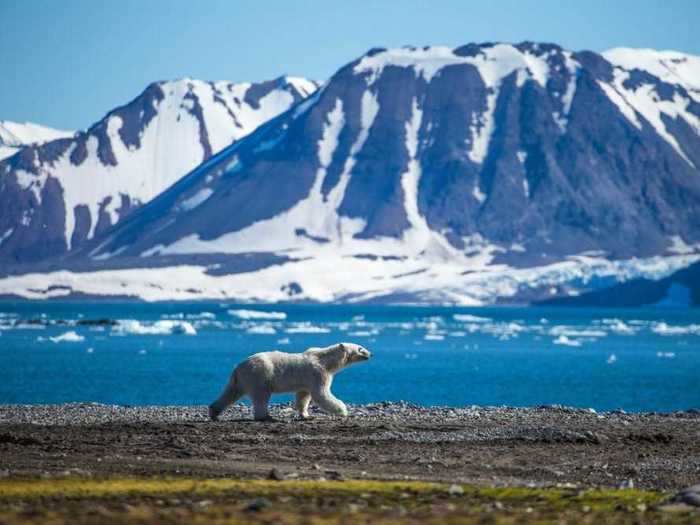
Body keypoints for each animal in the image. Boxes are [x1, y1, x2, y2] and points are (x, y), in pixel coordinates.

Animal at [208, 340, 372, 422]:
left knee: (231, 392)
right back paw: (266, 416)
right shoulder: (318, 374)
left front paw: (306, 415)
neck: (326, 361)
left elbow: (303, 396)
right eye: (361, 348)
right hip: (260, 375)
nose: (370, 354)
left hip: (240, 379)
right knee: (261, 396)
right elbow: (322, 394)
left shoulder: (306, 381)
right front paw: (343, 410)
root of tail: (238, 366)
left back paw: (214, 412)